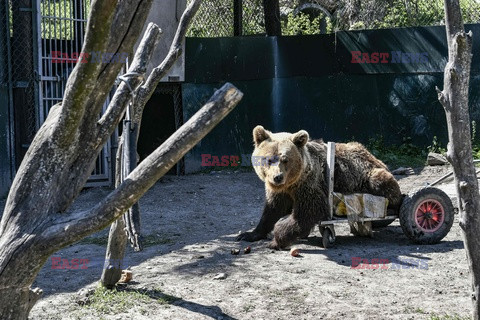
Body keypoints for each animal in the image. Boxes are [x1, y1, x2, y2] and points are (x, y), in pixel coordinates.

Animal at [236, 125, 402, 250]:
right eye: (269, 159)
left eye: (285, 159)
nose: (277, 177)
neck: (292, 183)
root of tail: (372, 155)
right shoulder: (281, 191)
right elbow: (272, 210)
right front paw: (247, 234)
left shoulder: (309, 184)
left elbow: (309, 211)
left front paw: (276, 240)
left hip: (367, 175)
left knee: (384, 185)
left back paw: (392, 208)